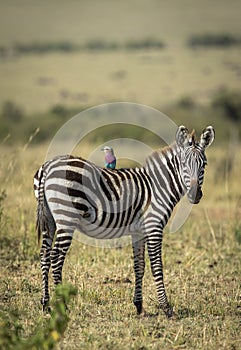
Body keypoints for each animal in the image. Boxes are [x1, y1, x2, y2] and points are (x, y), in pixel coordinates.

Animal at [33, 125, 215, 318]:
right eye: (183, 164)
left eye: (204, 165)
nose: (195, 195)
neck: (159, 186)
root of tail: (48, 166)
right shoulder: (154, 226)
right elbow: (157, 267)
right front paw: (166, 307)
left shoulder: (139, 231)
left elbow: (139, 266)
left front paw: (139, 305)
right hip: (66, 217)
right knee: (56, 257)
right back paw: (62, 305)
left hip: (50, 220)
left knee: (44, 255)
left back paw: (45, 304)